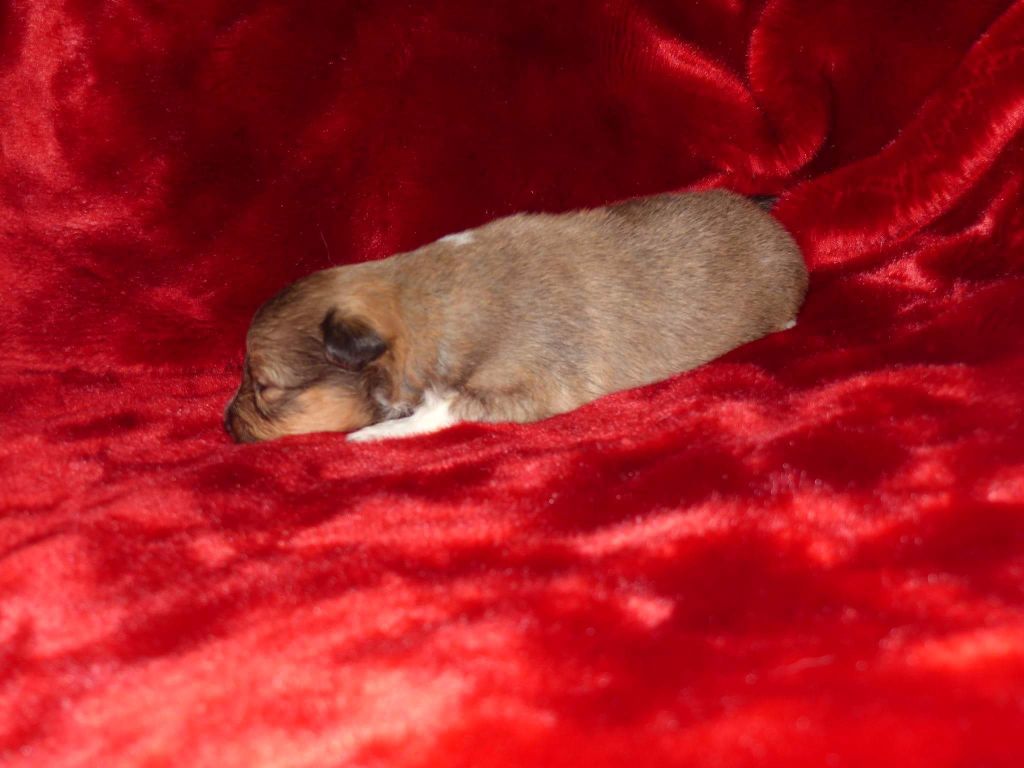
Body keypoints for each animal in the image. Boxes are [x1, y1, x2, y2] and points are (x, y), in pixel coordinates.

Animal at [225, 189, 807, 443]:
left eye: (265, 387)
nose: (224, 424)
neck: (425, 305)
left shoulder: (528, 385)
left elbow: (443, 406)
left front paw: (373, 434)